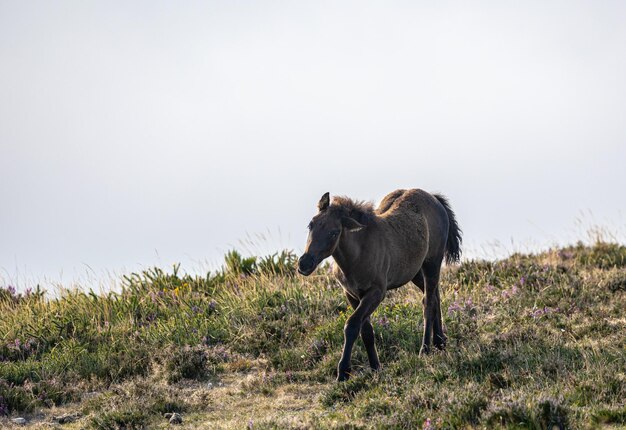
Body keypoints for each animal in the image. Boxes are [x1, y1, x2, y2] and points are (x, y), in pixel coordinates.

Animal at [294, 190, 460, 382]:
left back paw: (425, 349)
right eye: (311, 224)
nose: (305, 264)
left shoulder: (376, 293)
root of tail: (434, 198)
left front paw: (343, 371)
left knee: (428, 303)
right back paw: (440, 342)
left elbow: (352, 325)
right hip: (414, 272)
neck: (357, 255)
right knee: (435, 297)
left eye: (334, 232)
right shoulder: (352, 294)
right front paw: (375, 367)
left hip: (432, 262)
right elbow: (366, 330)